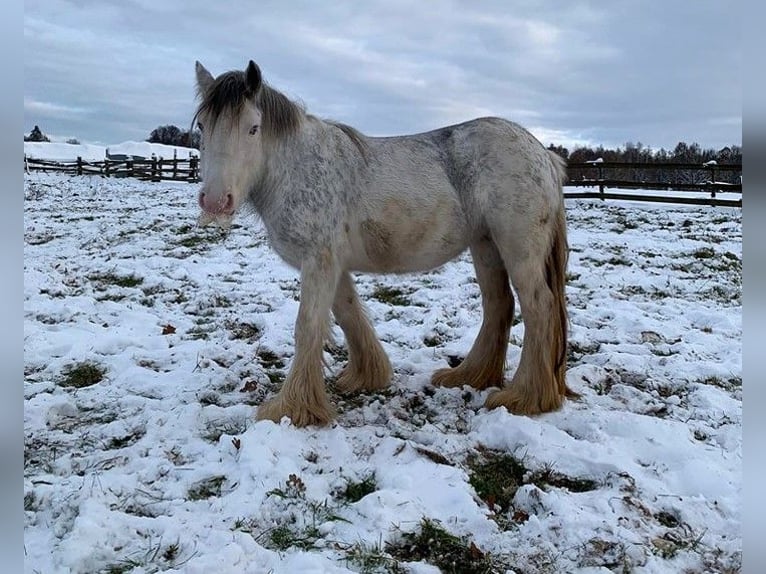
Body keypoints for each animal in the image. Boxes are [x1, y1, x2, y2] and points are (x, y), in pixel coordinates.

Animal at [192, 59, 576, 428]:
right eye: (203, 128)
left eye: (253, 128)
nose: (215, 202)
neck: (296, 169)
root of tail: (545, 156)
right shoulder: (333, 265)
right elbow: (349, 314)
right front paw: (367, 375)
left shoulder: (319, 261)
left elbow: (307, 326)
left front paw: (292, 408)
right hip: (485, 246)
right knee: (498, 304)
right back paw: (470, 375)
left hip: (518, 249)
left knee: (539, 306)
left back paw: (525, 396)